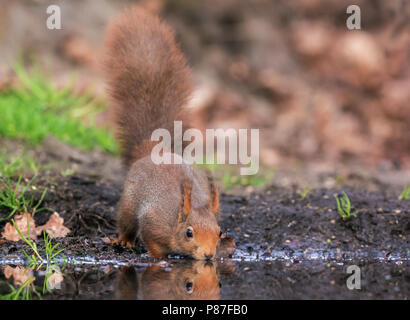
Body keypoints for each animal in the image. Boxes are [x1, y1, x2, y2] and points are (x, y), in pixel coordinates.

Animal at [102, 7, 232, 260]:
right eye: (189, 233)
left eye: (220, 232)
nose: (208, 255)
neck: (176, 219)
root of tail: (153, 150)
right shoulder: (153, 222)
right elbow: (153, 242)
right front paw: (159, 257)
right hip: (129, 202)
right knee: (126, 221)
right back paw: (124, 239)